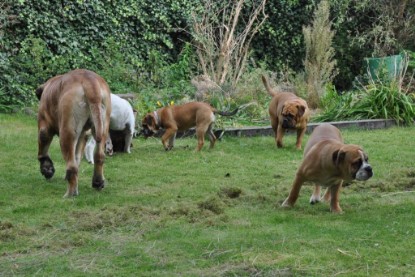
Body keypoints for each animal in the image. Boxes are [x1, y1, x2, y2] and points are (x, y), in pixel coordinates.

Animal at [36, 68, 112, 196]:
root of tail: (90, 81)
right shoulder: (82, 135)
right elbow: (77, 156)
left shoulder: (44, 128)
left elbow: (43, 150)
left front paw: (46, 168)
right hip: (102, 126)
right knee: (98, 156)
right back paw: (97, 182)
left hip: (67, 133)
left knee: (71, 166)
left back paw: (71, 193)